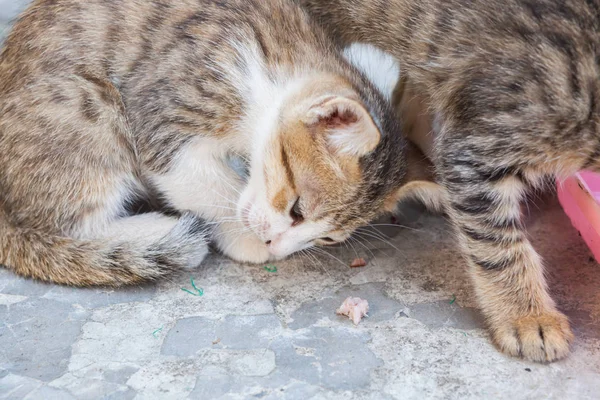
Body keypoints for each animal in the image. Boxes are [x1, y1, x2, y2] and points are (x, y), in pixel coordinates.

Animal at [0, 0, 440, 286]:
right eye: (297, 209)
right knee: (70, 223)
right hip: (91, 106)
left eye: (328, 238)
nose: (279, 249)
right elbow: (204, 184)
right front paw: (245, 237)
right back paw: (152, 234)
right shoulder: (163, 111)